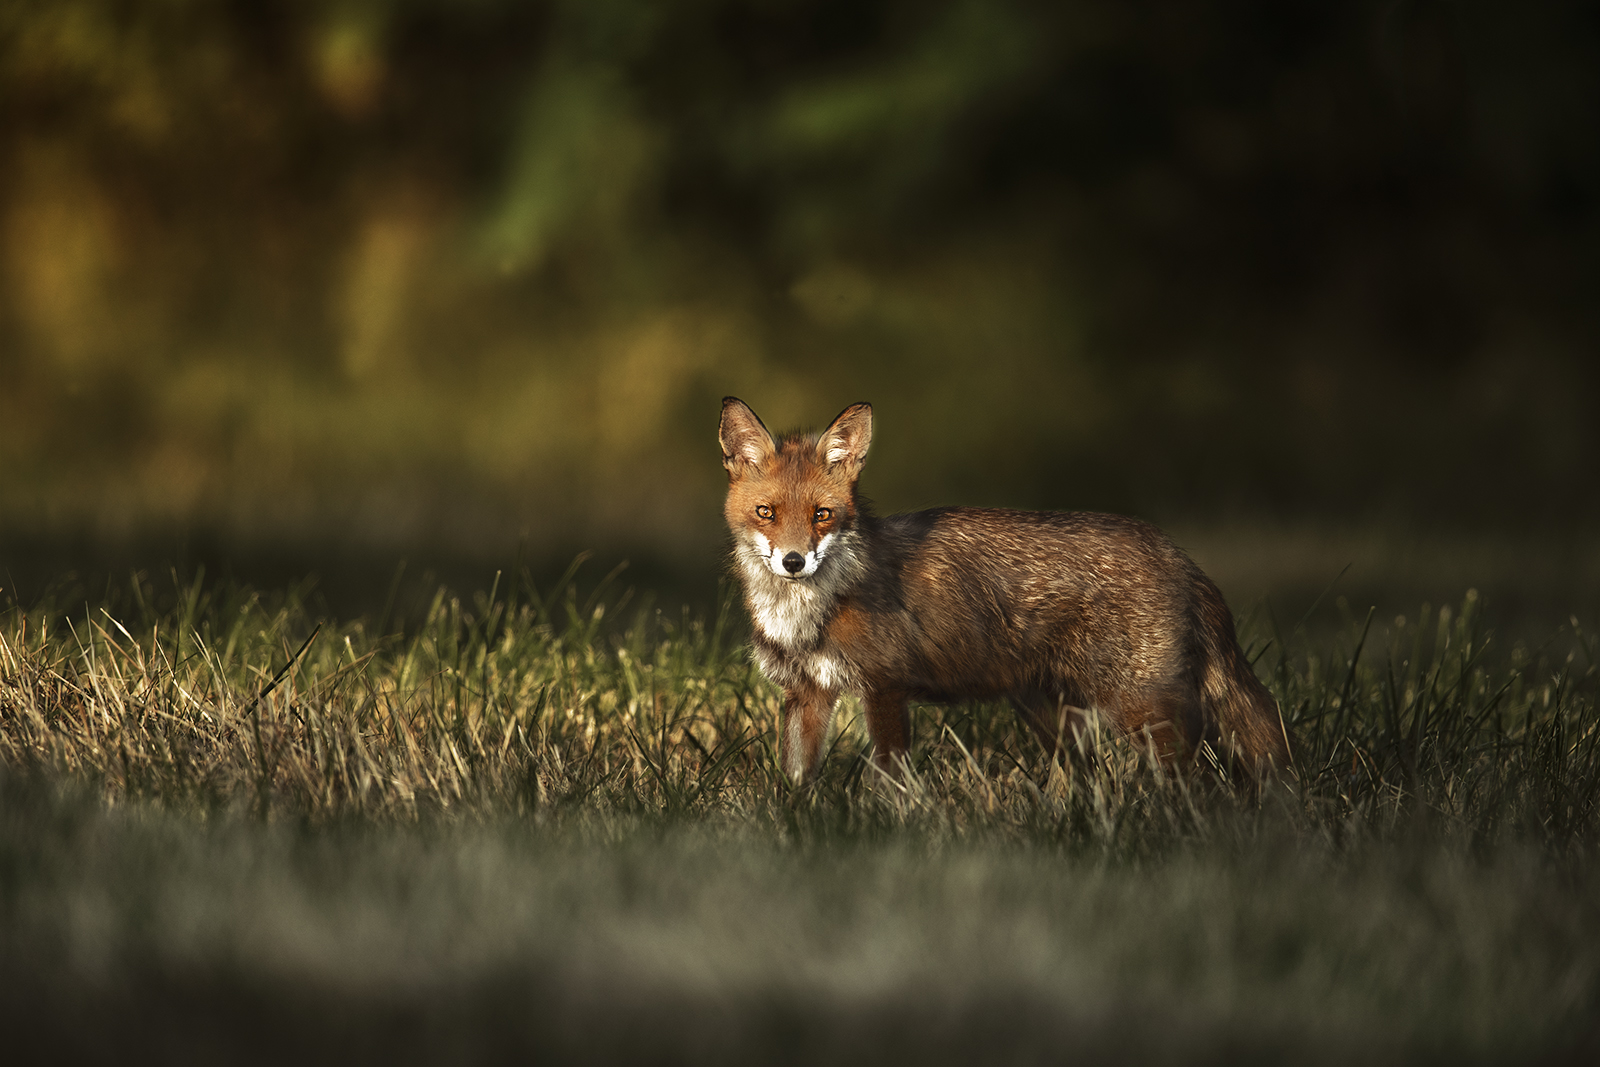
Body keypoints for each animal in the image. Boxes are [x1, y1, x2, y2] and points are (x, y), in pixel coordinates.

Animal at [720, 398, 1292, 783]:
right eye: (766, 512)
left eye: (822, 515)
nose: (794, 562)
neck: (808, 615)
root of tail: (1178, 553)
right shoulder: (806, 694)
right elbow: (797, 782)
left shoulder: (884, 686)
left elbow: (890, 778)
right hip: (1053, 713)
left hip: (1141, 706)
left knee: (1195, 772)